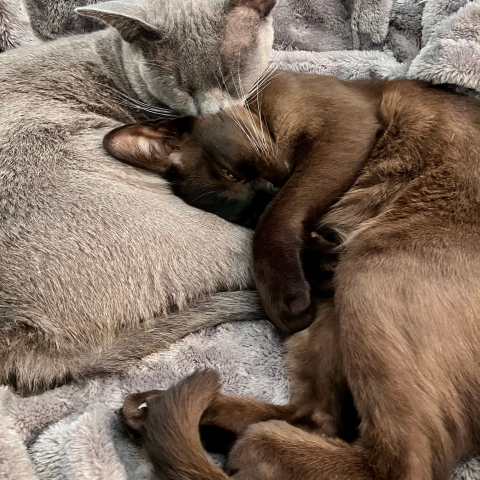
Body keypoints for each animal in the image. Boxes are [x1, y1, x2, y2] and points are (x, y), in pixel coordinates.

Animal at [107, 71, 480, 480]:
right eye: (246, 208)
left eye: (229, 171)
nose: (269, 188)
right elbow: (285, 228)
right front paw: (313, 269)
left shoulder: (342, 130)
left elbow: (280, 218)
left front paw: (286, 301)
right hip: (337, 308)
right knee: (319, 421)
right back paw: (152, 410)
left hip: (368, 264)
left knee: (399, 463)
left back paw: (242, 444)